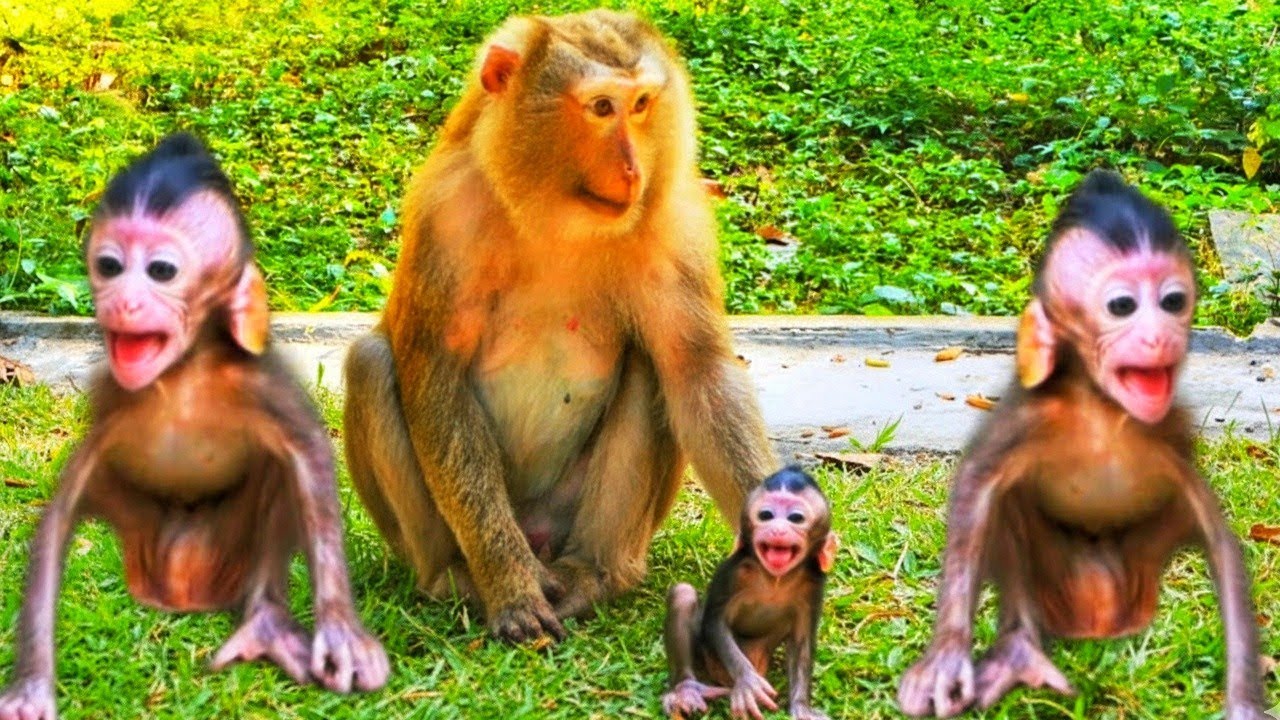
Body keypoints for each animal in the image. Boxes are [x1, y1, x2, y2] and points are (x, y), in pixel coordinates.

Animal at [0, 133, 388, 720]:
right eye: (109, 266)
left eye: (161, 271)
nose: (124, 300)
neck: (181, 374)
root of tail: (182, 593)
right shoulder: (110, 400)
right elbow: (59, 515)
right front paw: (30, 687)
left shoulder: (259, 384)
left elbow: (309, 458)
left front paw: (341, 632)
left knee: (277, 475)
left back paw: (266, 624)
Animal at [342, 9, 777, 643]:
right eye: (601, 107)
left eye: (641, 104)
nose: (632, 170)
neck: (556, 214)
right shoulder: (444, 218)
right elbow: (438, 380)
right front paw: (511, 587)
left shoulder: (675, 222)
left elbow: (697, 373)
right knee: (373, 365)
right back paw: (454, 576)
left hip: (570, 515)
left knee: (653, 370)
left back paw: (594, 573)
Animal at [661, 467, 837, 720]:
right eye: (766, 515)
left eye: (796, 518)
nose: (777, 529)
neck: (775, 579)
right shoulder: (734, 573)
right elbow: (715, 622)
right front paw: (748, 682)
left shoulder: (812, 586)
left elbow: (802, 641)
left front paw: (801, 706)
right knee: (683, 594)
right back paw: (686, 689)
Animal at [897, 169, 1269, 718]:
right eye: (1122, 306)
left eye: (1173, 302)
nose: (1159, 336)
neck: (1102, 410)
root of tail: (1101, 622)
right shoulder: (1029, 417)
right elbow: (976, 492)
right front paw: (945, 657)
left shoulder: (1173, 430)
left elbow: (1221, 543)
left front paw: (1244, 702)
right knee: (1009, 505)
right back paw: (1019, 651)